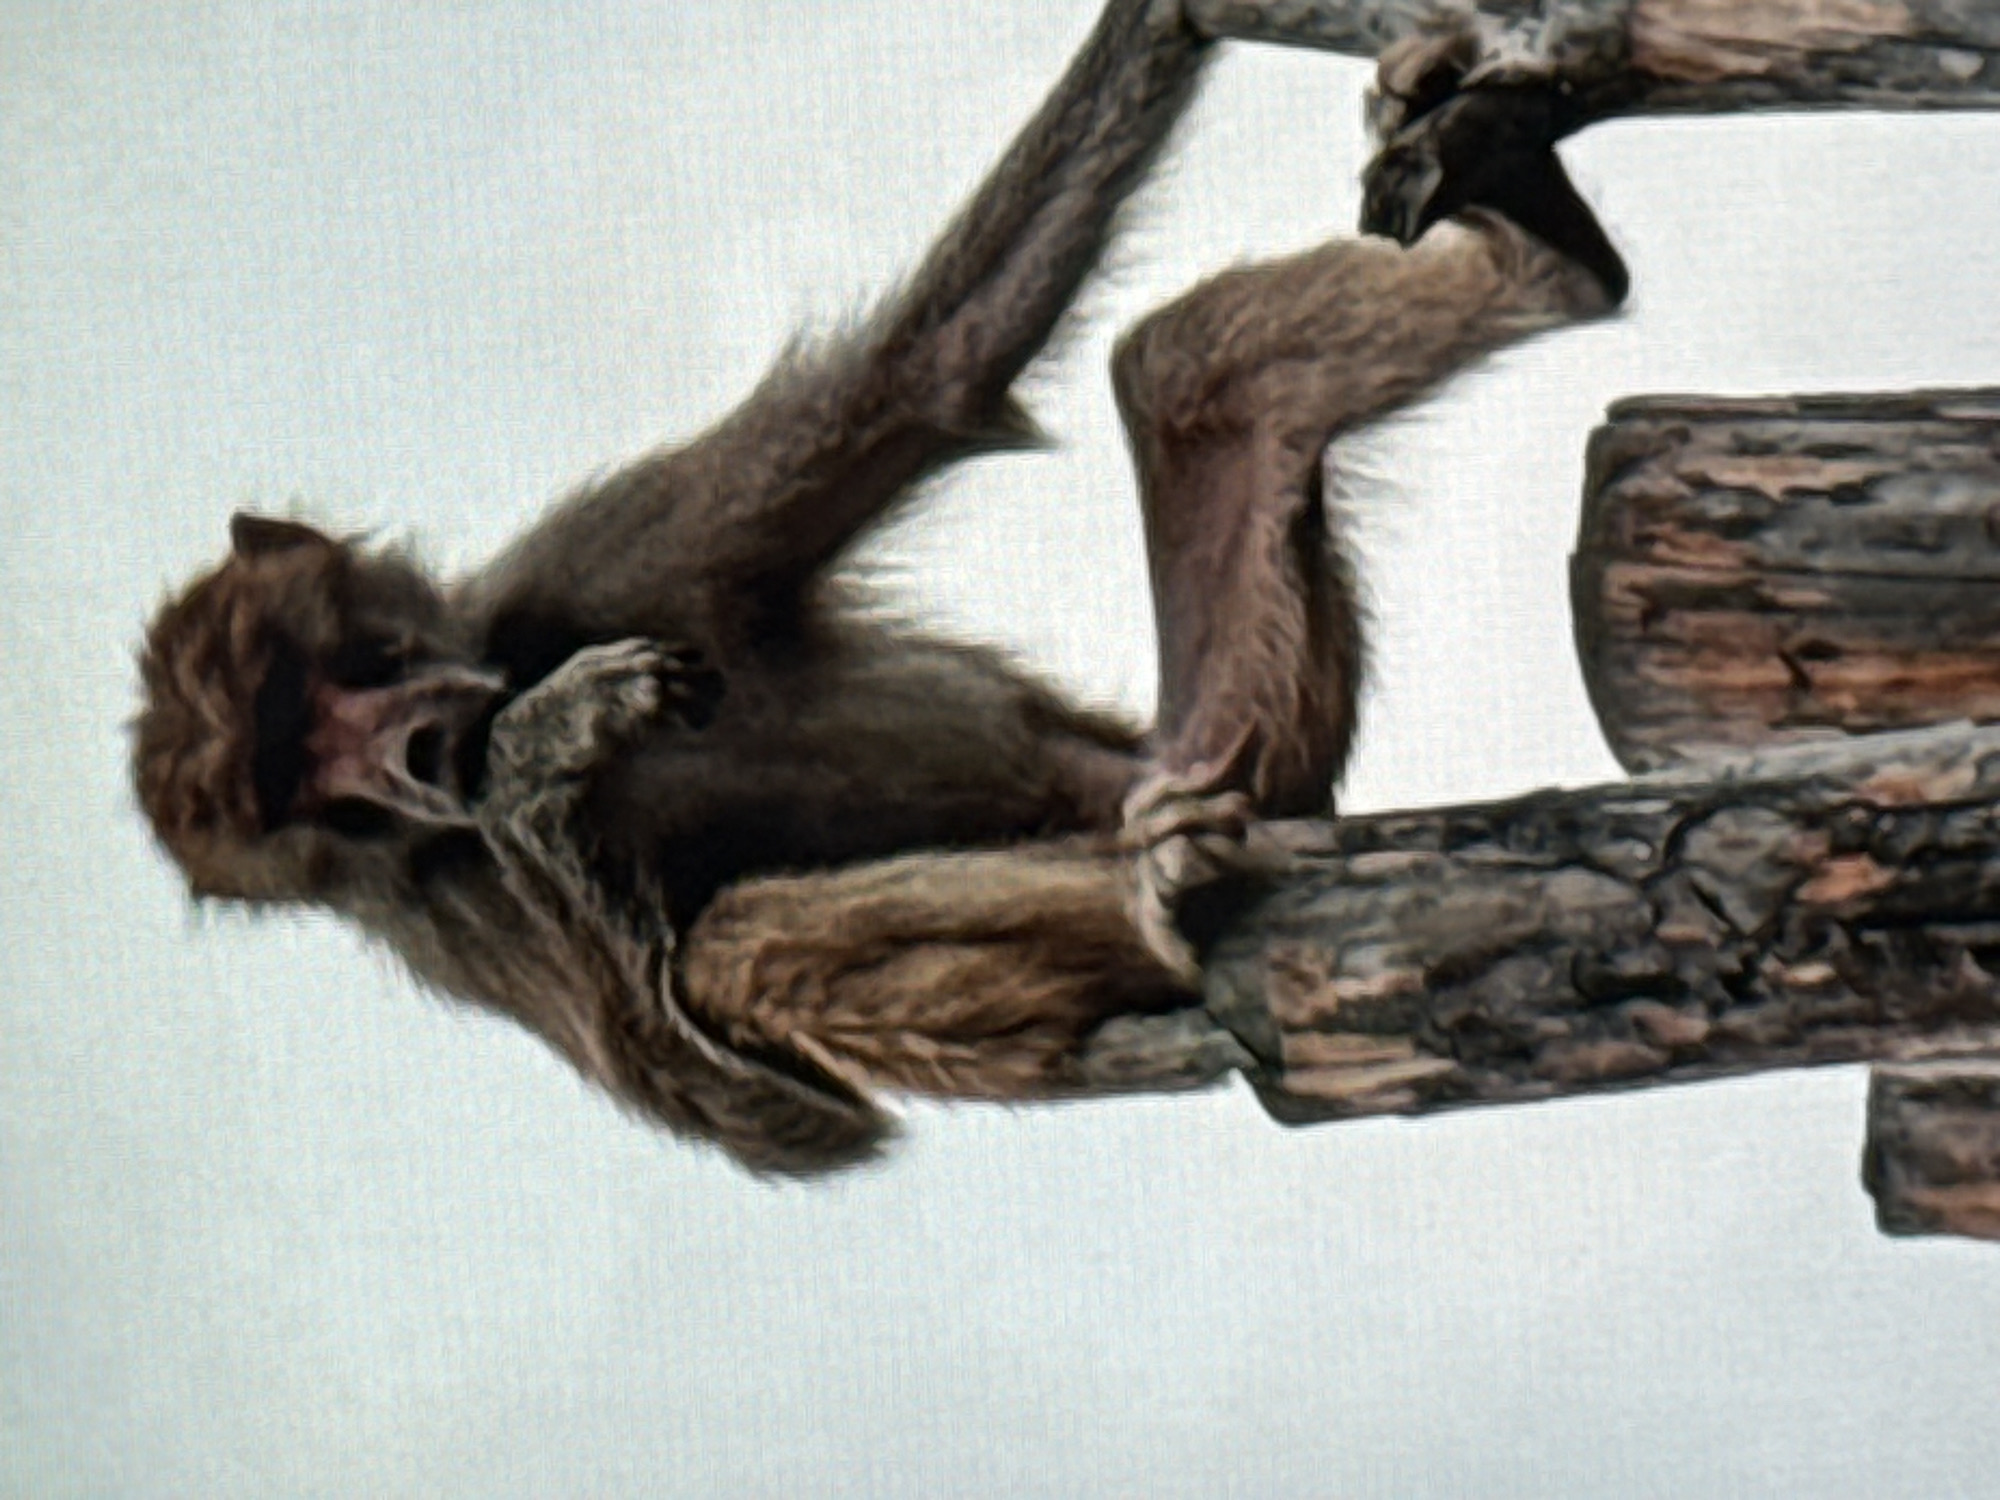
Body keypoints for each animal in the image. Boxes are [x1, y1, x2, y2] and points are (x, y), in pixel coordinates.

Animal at [133, 2, 1627, 1174]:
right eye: (323, 796)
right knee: (744, 949)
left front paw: (1166, 17)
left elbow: (938, 364)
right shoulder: (444, 918)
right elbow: (785, 1122)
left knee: (1195, 370)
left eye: (353, 682)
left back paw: (1542, 257)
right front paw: (544, 763)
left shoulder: (605, 560)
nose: (407, 760)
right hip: (1224, 774)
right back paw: (1158, 912)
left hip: (1237, 730)